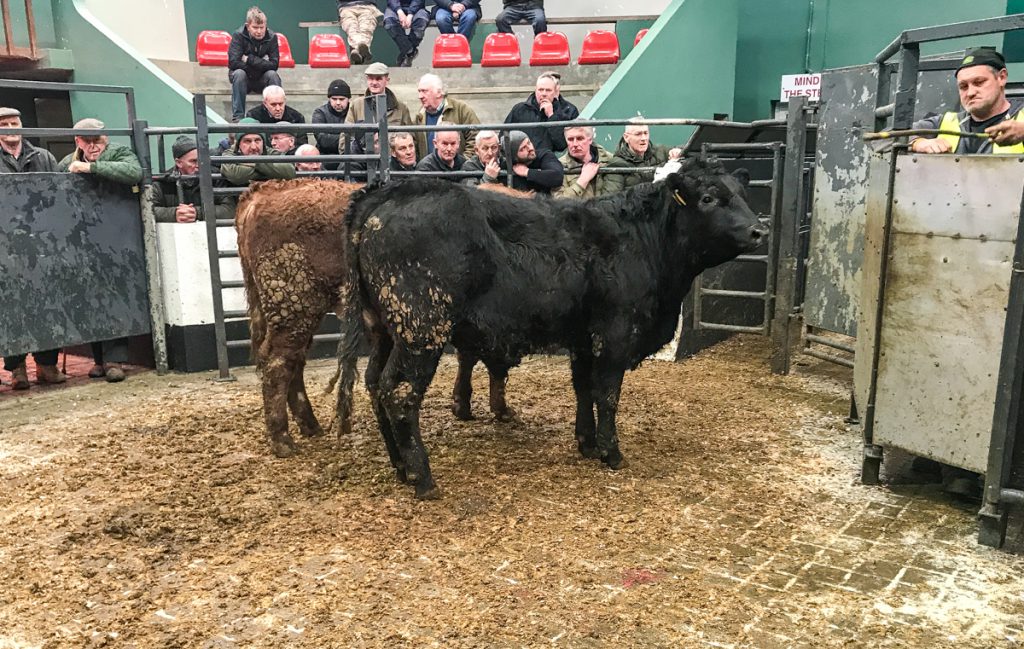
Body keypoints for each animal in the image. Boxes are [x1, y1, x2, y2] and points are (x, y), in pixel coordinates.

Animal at [342, 157, 766, 499]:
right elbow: (607, 395)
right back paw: (422, 477)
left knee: (375, 384)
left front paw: (587, 444)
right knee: (399, 392)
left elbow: (584, 389)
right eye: (708, 198)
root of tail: (391, 191)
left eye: (741, 193)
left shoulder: (583, 339)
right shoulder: (614, 336)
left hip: (383, 330)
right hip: (421, 330)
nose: (758, 230)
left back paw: (399, 466)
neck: (643, 242)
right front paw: (612, 452)